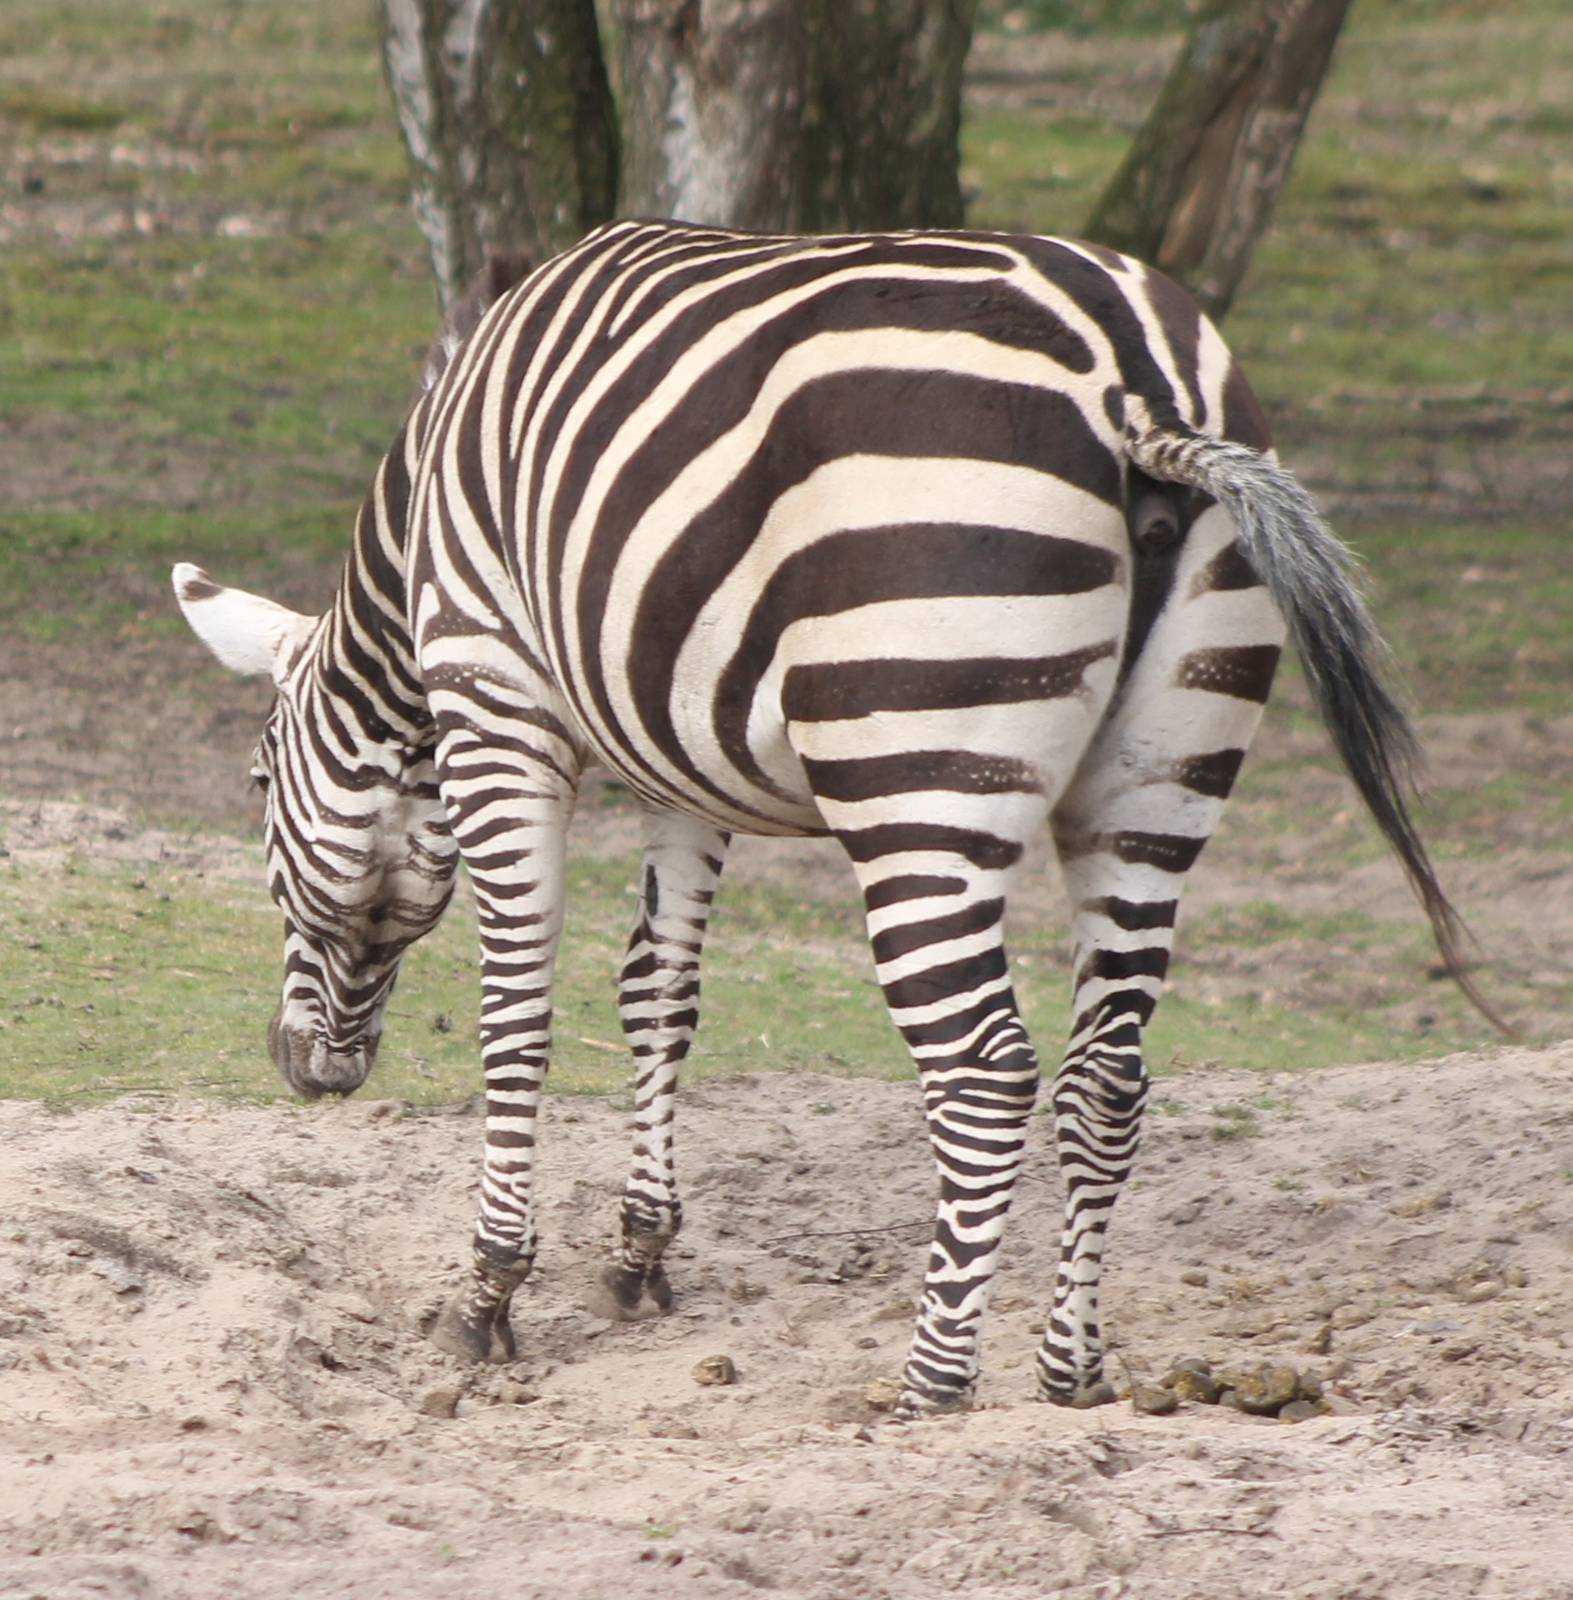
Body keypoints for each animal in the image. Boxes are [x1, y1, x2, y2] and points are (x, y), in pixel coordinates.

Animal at [173, 219, 1496, 1416]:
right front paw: (641, 1252)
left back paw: (929, 1386)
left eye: (256, 784)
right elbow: (658, 990)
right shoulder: (675, 758)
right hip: (1160, 777)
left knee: (984, 1072)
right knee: (1106, 1077)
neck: (416, 550)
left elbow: (518, 1007)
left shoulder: (494, 695)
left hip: (915, 766)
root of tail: (1135, 376)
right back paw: (1068, 1373)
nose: (303, 1069)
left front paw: (488, 1293)